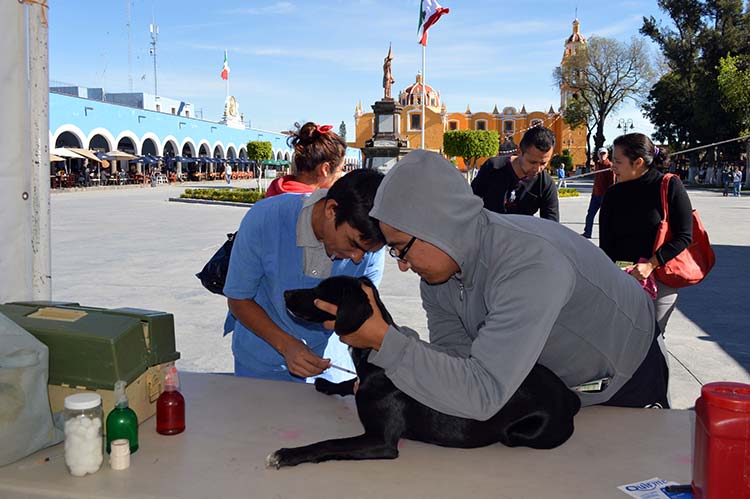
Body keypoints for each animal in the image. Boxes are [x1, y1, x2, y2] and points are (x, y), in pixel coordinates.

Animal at [270, 278, 580, 468]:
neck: (374, 359)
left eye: (320, 292)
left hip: (520, 434)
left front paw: (289, 454)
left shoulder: (381, 441)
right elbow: (350, 382)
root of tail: (568, 396)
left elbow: (330, 443)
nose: (285, 293)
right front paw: (328, 384)